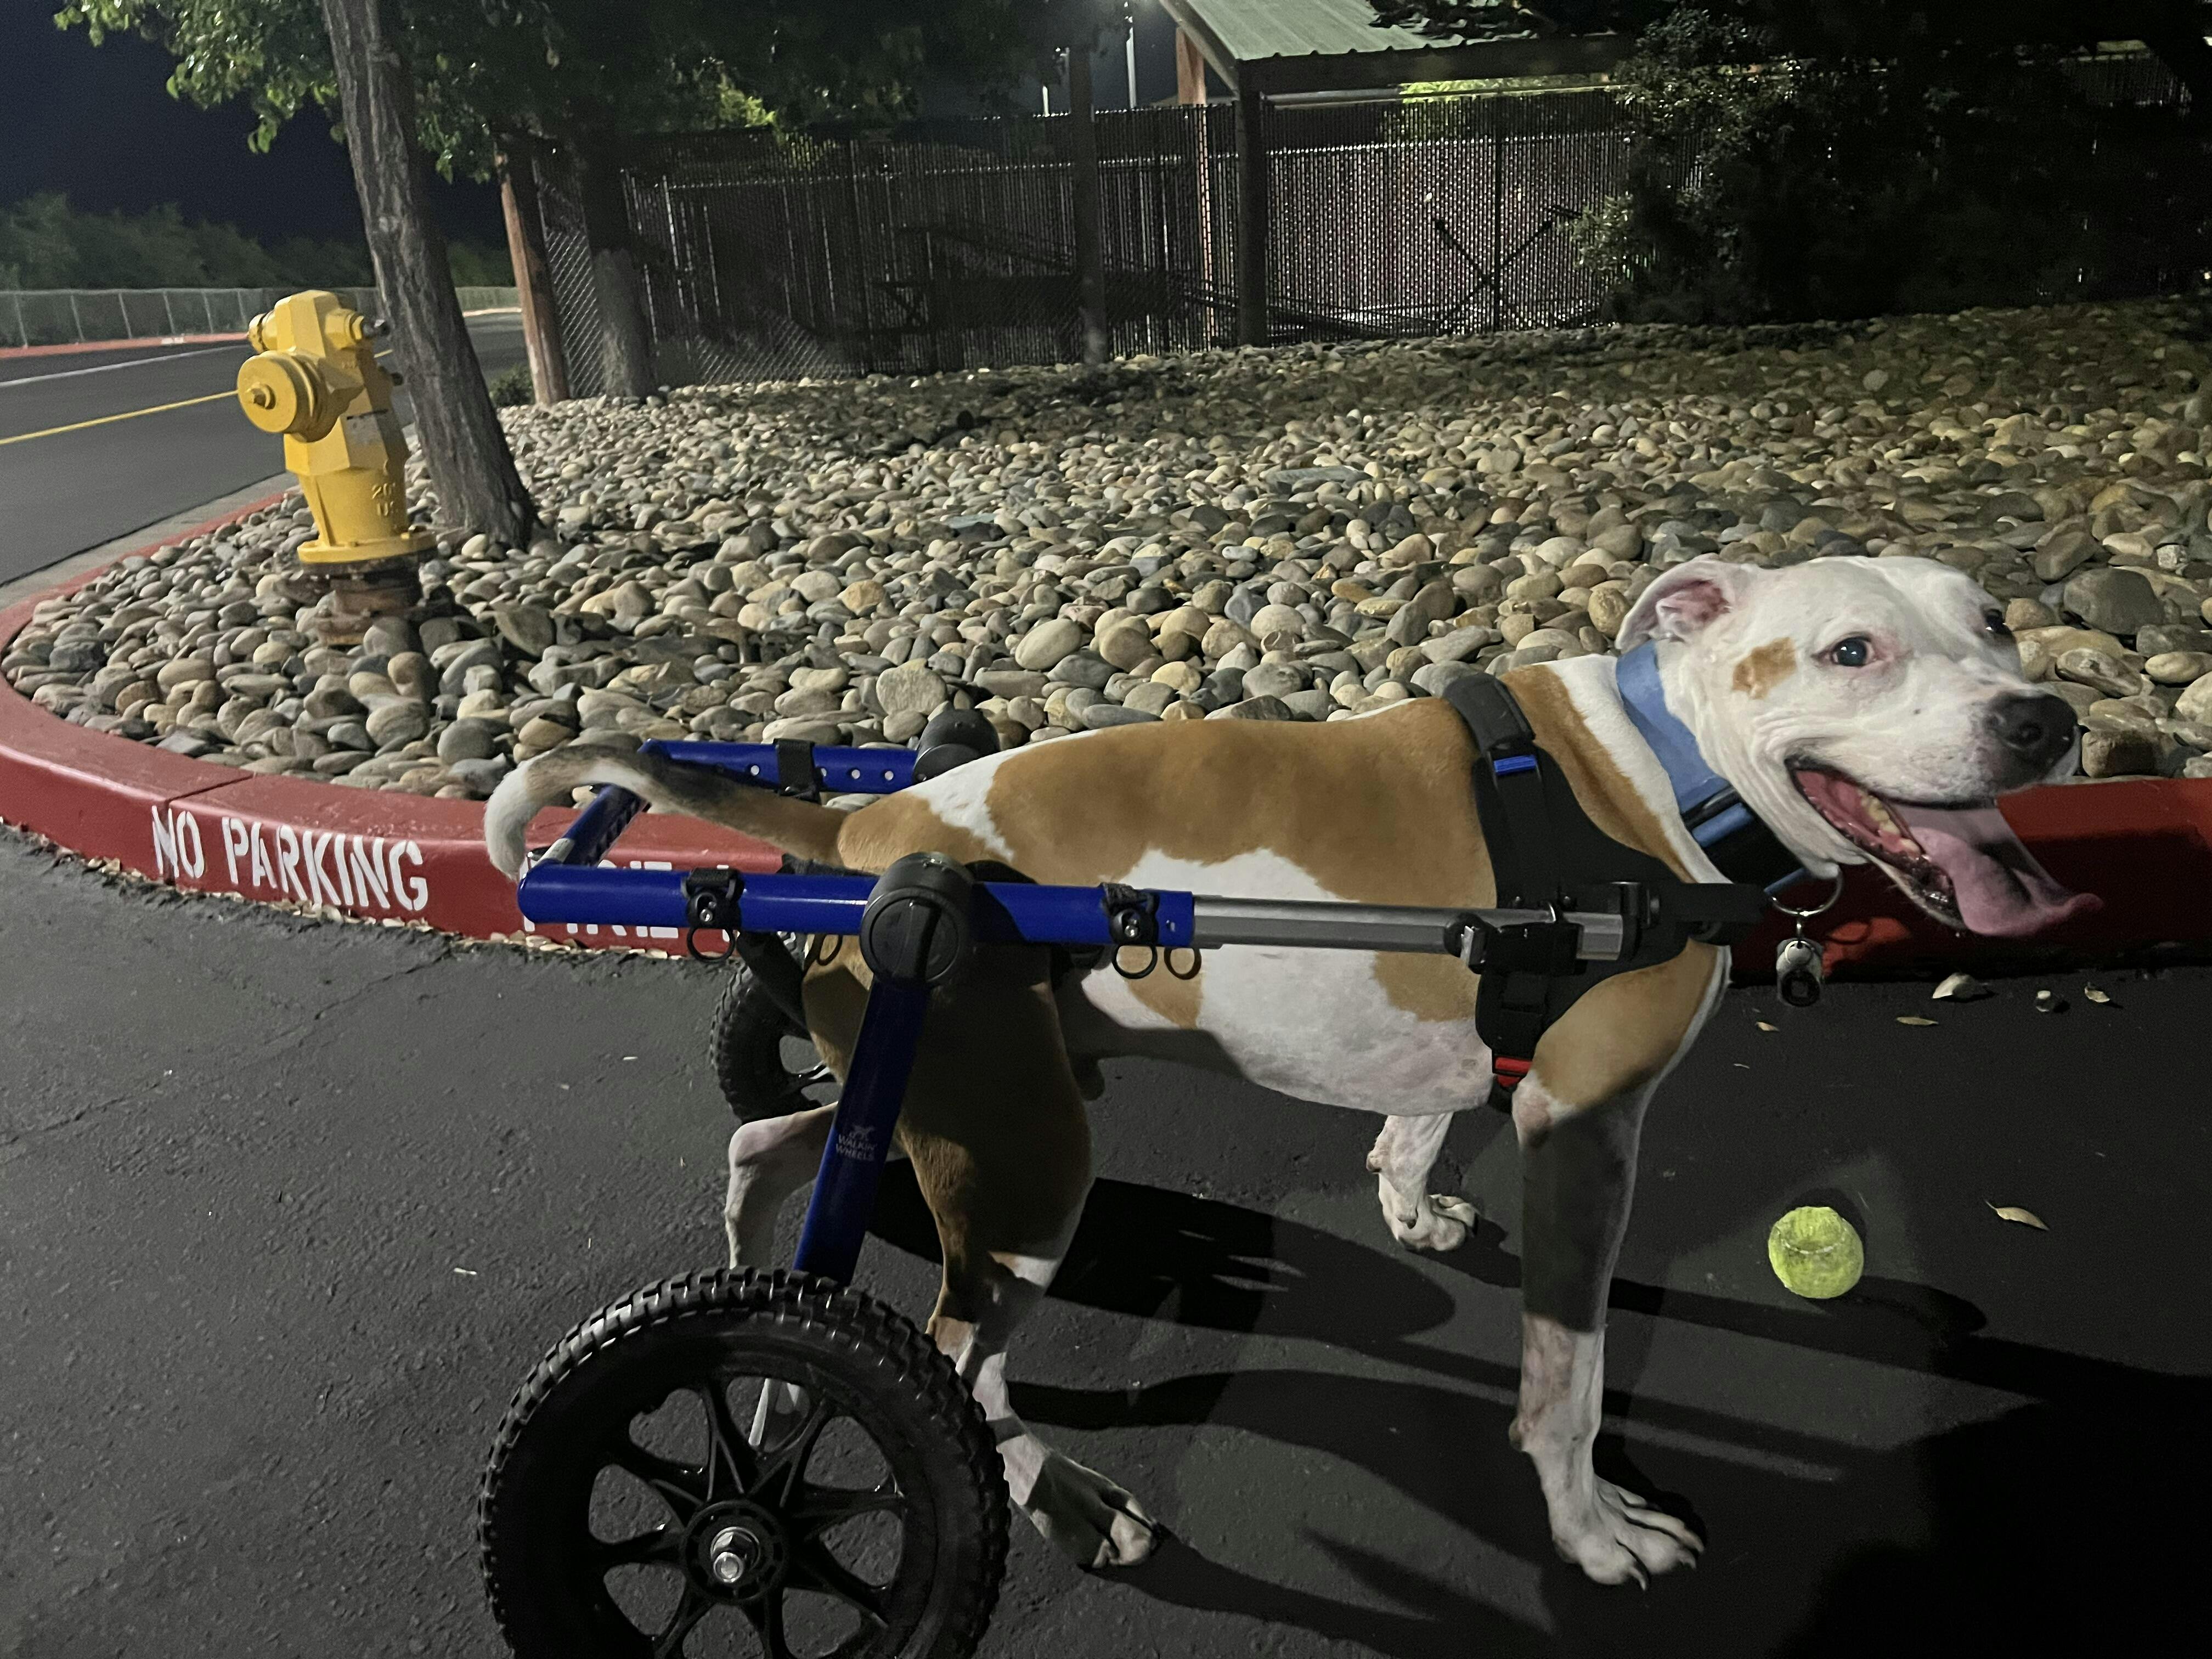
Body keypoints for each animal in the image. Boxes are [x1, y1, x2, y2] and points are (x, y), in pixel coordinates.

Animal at [486, 552, 2093, 1586]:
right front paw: (1592, 1533)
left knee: (777, 1152)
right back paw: (1055, 1503)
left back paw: (761, 1353)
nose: (2048, 717)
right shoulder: (1588, 1132)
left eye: (1997, 627)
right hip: (1025, 1158)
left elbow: (1416, 1126)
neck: (1668, 771)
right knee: (956, 1363)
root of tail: (870, 836)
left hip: (951, 1099)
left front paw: (1413, 1203)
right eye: (1851, 651)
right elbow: (1569, 1382)